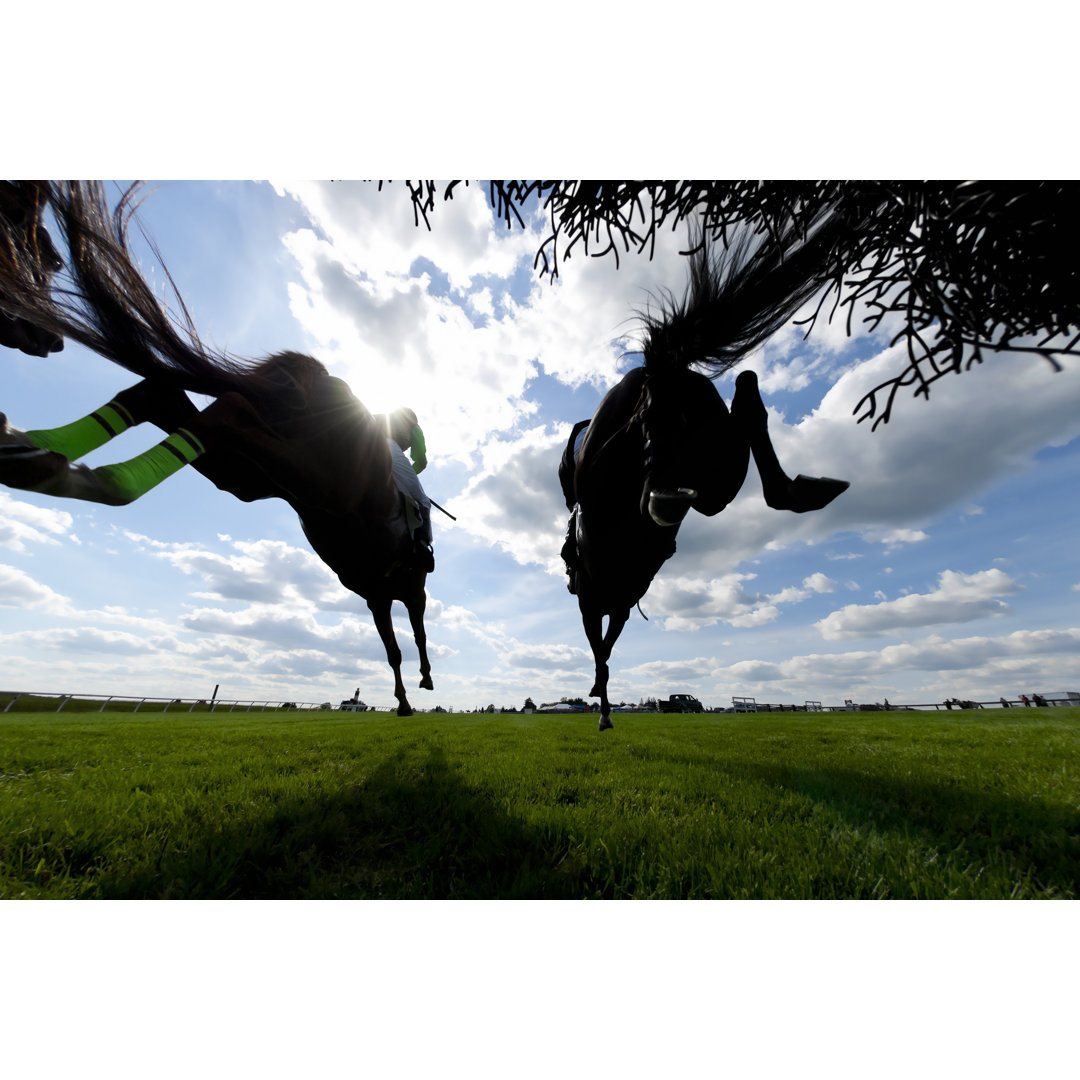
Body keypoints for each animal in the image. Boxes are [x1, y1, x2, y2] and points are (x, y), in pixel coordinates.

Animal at [5, 181, 434, 712]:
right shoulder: (399, 590)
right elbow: (410, 639)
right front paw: (417, 687)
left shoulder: (378, 592)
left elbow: (397, 643)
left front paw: (409, 692)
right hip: (319, 483)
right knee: (224, 411)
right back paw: (69, 466)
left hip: (255, 477)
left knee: (165, 396)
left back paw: (55, 459)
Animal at [565, 223, 851, 730]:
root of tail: (658, 372)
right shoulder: (609, 601)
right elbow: (605, 648)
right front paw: (601, 699)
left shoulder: (600, 602)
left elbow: (603, 649)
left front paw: (602, 703)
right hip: (715, 473)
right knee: (740, 404)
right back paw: (803, 489)